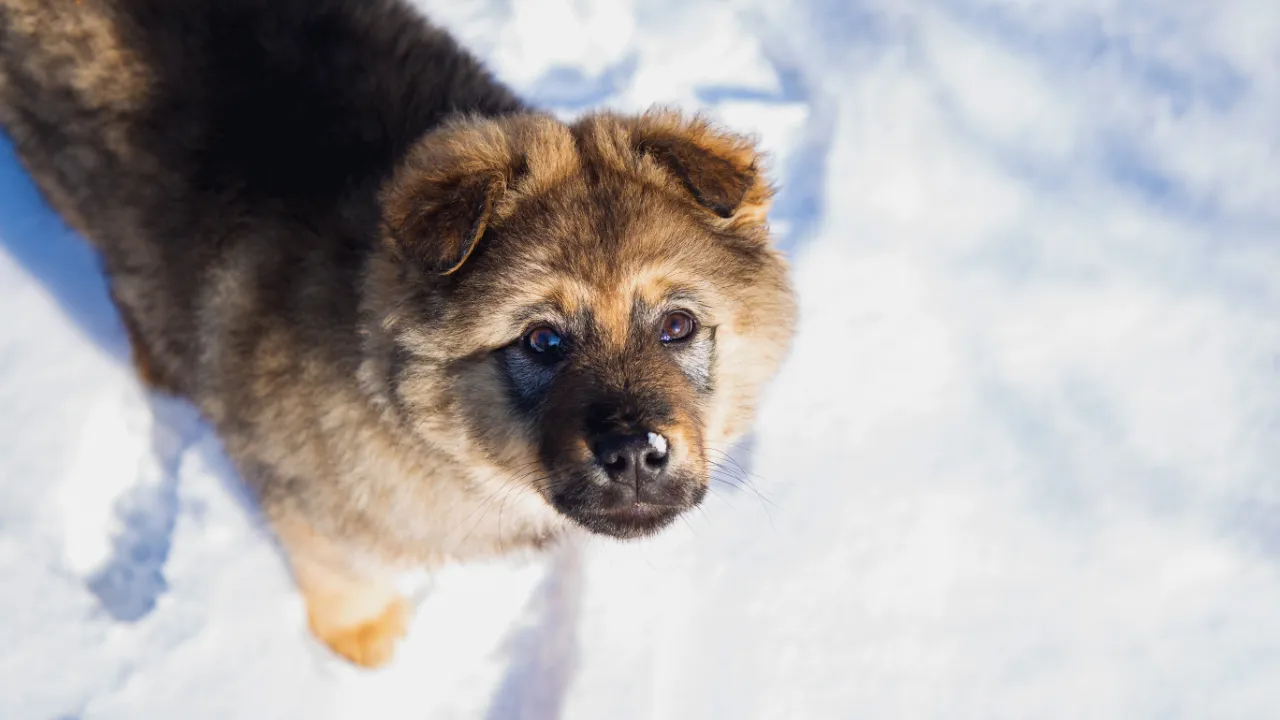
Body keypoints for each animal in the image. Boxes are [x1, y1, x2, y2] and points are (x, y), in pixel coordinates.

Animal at [0, 0, 793, 666]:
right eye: (542, 341)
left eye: (677, 325)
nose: (634, 455)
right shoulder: (294, 491)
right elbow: (335, 568)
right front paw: (361, 640)